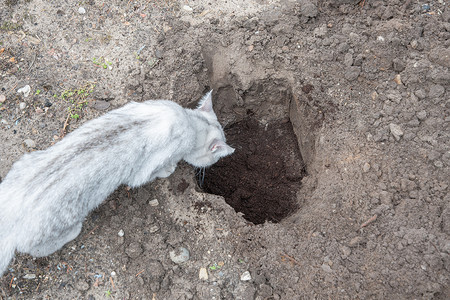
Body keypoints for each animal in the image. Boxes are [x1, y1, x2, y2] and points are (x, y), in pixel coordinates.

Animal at [0, 91, 232, 276]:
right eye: (215, 158)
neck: (190, 122)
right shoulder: (142, 172)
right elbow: (157, 170)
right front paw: (169, 168)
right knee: (38, 249)